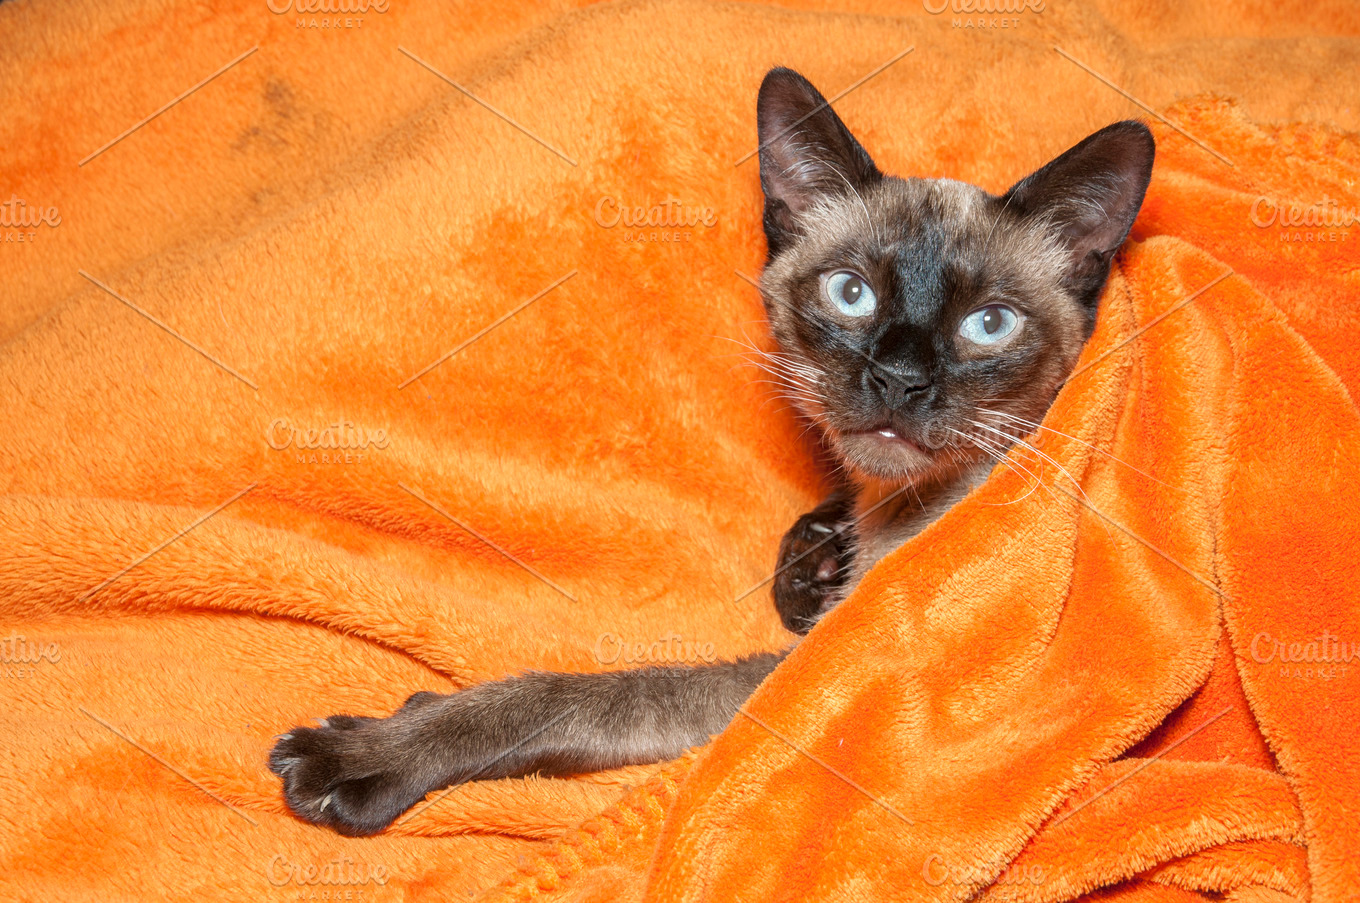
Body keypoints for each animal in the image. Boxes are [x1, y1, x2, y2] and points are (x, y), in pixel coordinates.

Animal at [267, 66, 1158, 837]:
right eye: (851, 293)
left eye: (989, 324)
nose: (900, 379)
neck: (893, 509)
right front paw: (812, 562)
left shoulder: (816, 683)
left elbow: (579, 696)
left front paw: (368, 752)